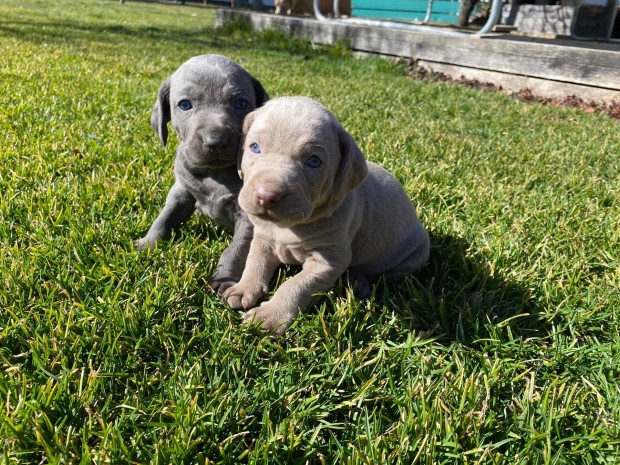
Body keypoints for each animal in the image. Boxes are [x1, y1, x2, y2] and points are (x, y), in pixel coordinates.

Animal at [133, 54, 268, 294]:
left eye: (240, 103)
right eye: (185, 104)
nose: (215, 141)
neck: (214, 174)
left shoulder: (248, 216)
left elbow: (236, 249)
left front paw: (224, 279)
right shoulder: (181, 192)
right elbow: (164, 218)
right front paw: (148, 243)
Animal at [224, 96, 432, 334]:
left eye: (314, 162)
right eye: (255, 147)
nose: (267, 196)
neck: (286, 227)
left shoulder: (329, 260)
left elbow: (295, 285)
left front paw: (269, 316)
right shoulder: (263, 239)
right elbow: (254, 263)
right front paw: (243, 288)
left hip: (415, 253)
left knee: (383, 273)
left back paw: (357, 281)